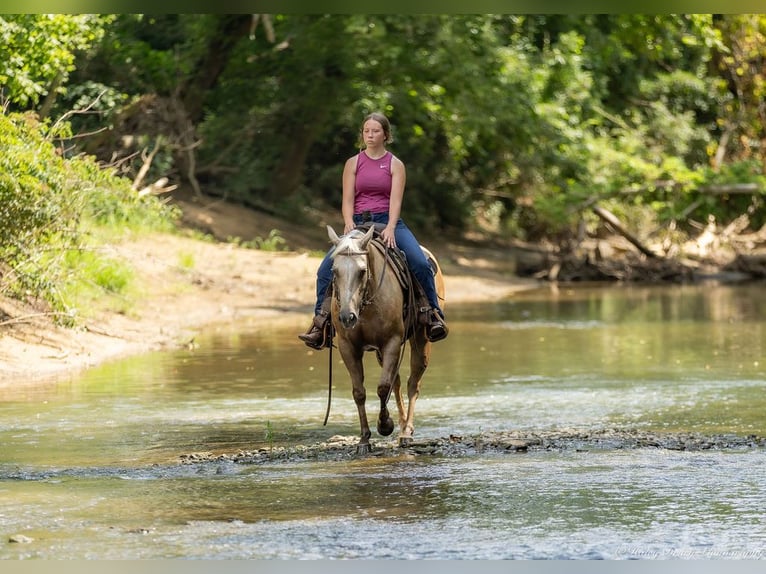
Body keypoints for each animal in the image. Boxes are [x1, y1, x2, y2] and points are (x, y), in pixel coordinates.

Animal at [326, 224, 446, 455]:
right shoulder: (348, 347)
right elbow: (359, 392)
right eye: (334, 271)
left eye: (362, 271)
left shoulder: (392, 342)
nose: (347, 317)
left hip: (421, 339)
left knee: (412, 383)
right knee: (396, 382)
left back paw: (406, 432)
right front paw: (364, 439)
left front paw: (384, 426)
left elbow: (382, 387)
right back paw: (401, 425)